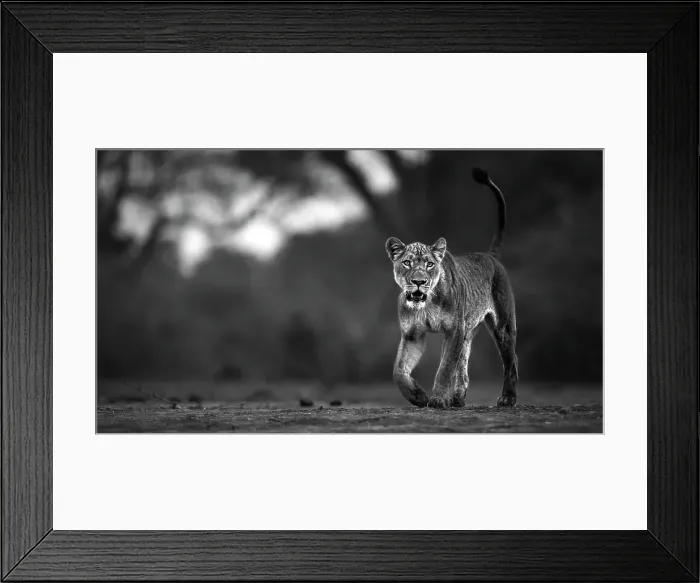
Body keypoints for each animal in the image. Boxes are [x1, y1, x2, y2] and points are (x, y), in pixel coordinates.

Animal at [385, 167, 518, 409]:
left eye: (430, 264)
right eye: (407, 263)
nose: (419, 282)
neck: (425, 303)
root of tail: (490, 256)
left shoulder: (454, 330)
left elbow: (445, 369)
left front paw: (437, 400)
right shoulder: (413, 334)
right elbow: (398, 370)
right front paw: (418, 397)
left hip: (502, 326)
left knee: (511, 360)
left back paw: (507, 399)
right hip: (468, 330)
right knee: (463, 366)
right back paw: (457, 399)